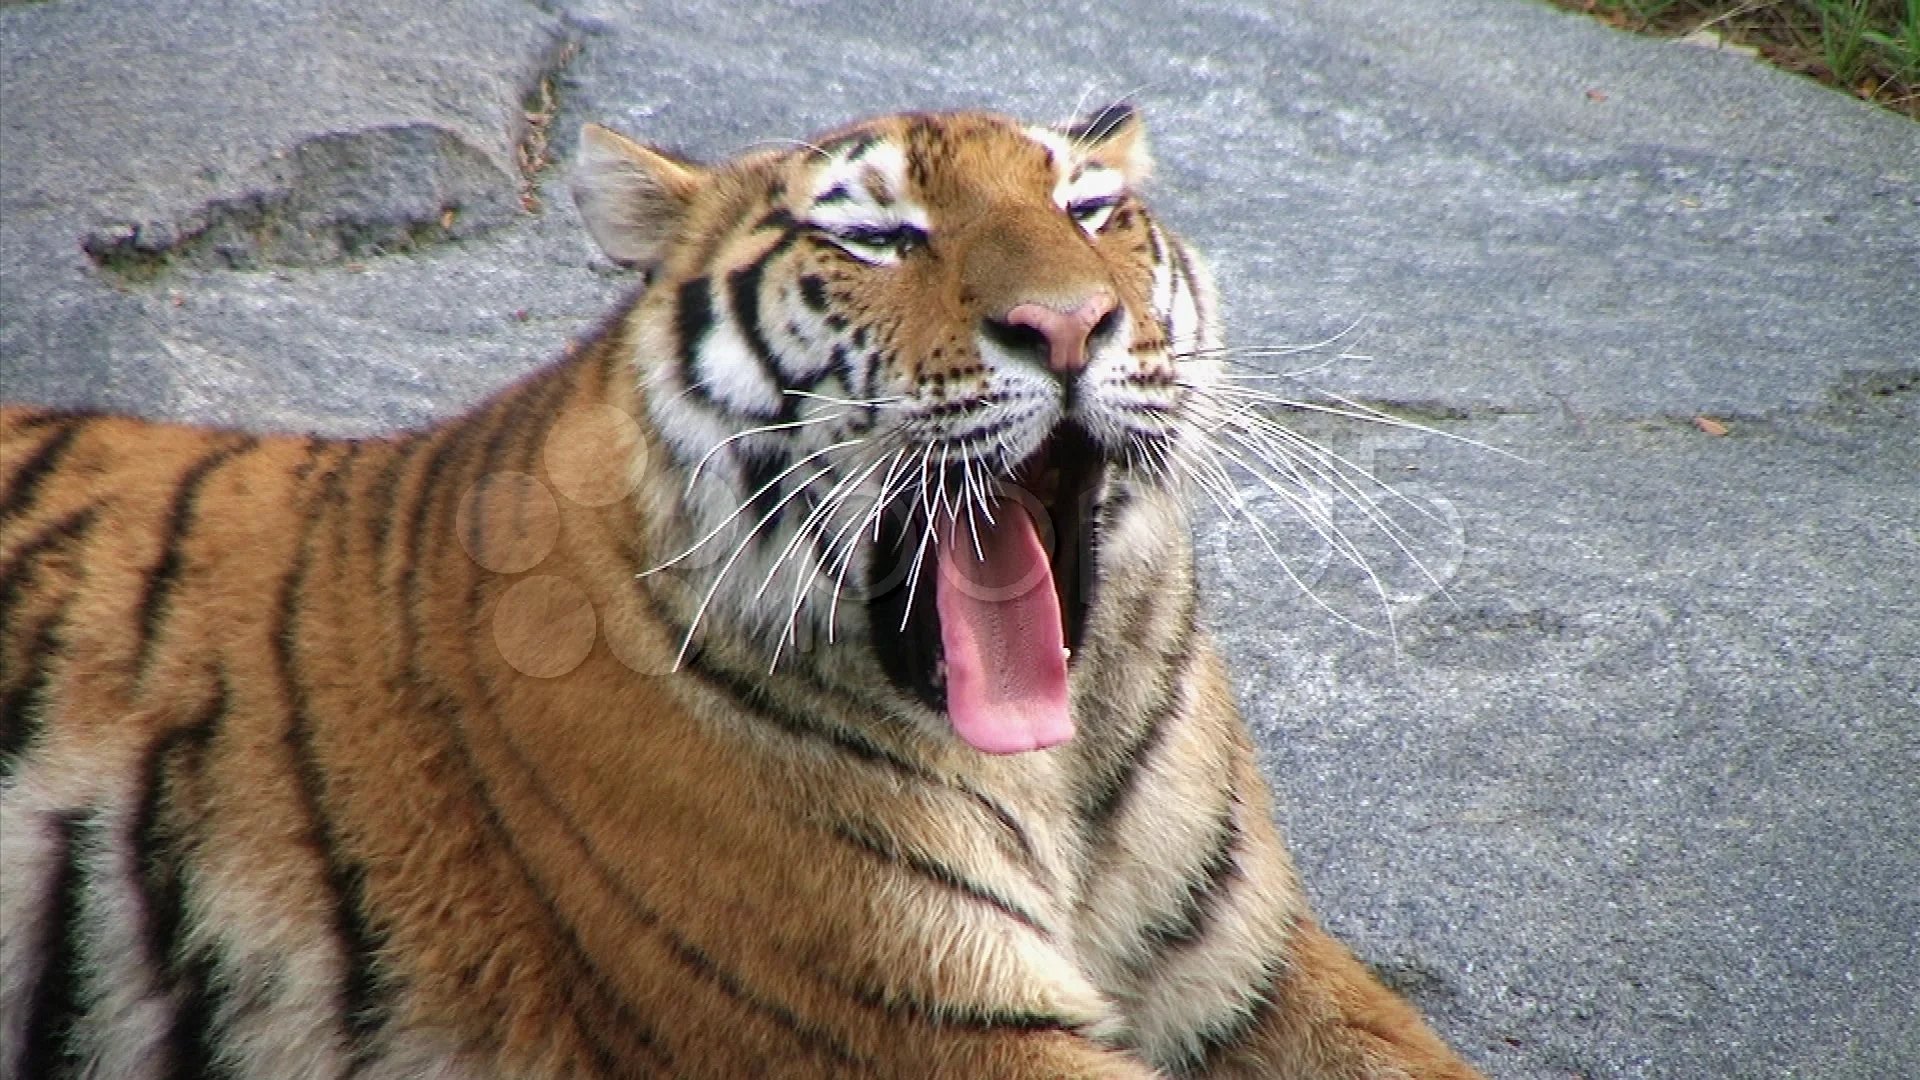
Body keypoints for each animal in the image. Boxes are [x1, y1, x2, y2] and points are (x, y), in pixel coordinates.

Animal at [0, 106, 1485, 1079]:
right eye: (882, 237)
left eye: (1087, 211)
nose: (1068, 328)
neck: (1063, 773)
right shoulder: (926, 1016)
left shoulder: (1256, 974)